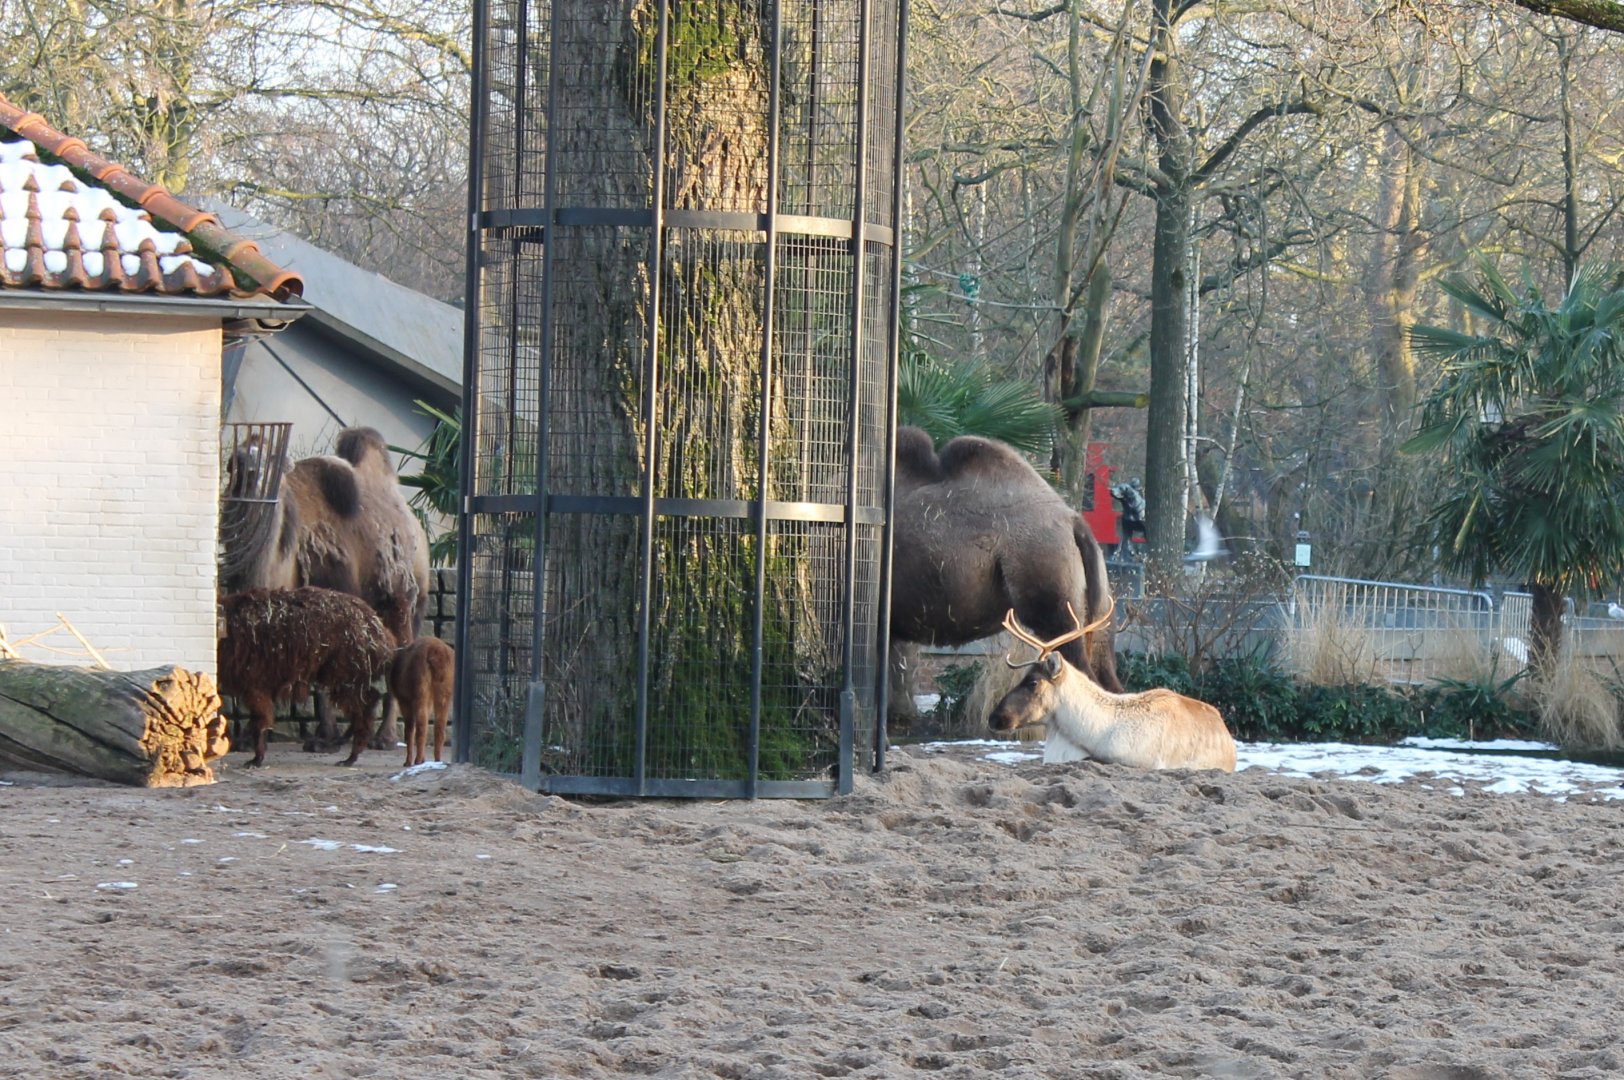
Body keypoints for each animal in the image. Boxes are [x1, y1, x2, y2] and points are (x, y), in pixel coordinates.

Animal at [222, 425, 431, 748]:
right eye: (235, 459)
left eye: (271, 457)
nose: (245, 465)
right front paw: (251, 735)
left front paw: (321, 736)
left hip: (406, 600)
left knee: (400, 656)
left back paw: (384, 737)